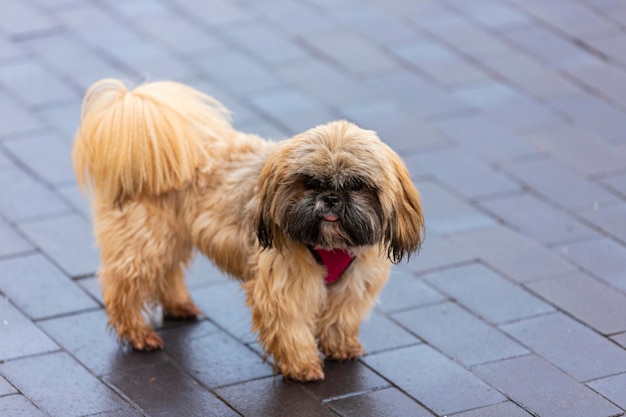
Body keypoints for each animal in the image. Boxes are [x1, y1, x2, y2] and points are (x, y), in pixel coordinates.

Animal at [73, 79, 424, 380]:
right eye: (309, 182)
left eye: (356, 185)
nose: (331, 198)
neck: (332, 246)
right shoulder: (285, 283)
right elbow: (291, 326)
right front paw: (302, 365)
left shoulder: (354, 281)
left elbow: (341, 316)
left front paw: (340, 347)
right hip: (145, 240)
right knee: (124, 286)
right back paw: (137, 333)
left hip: (170, 236)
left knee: (167, 271)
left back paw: (179, 306)